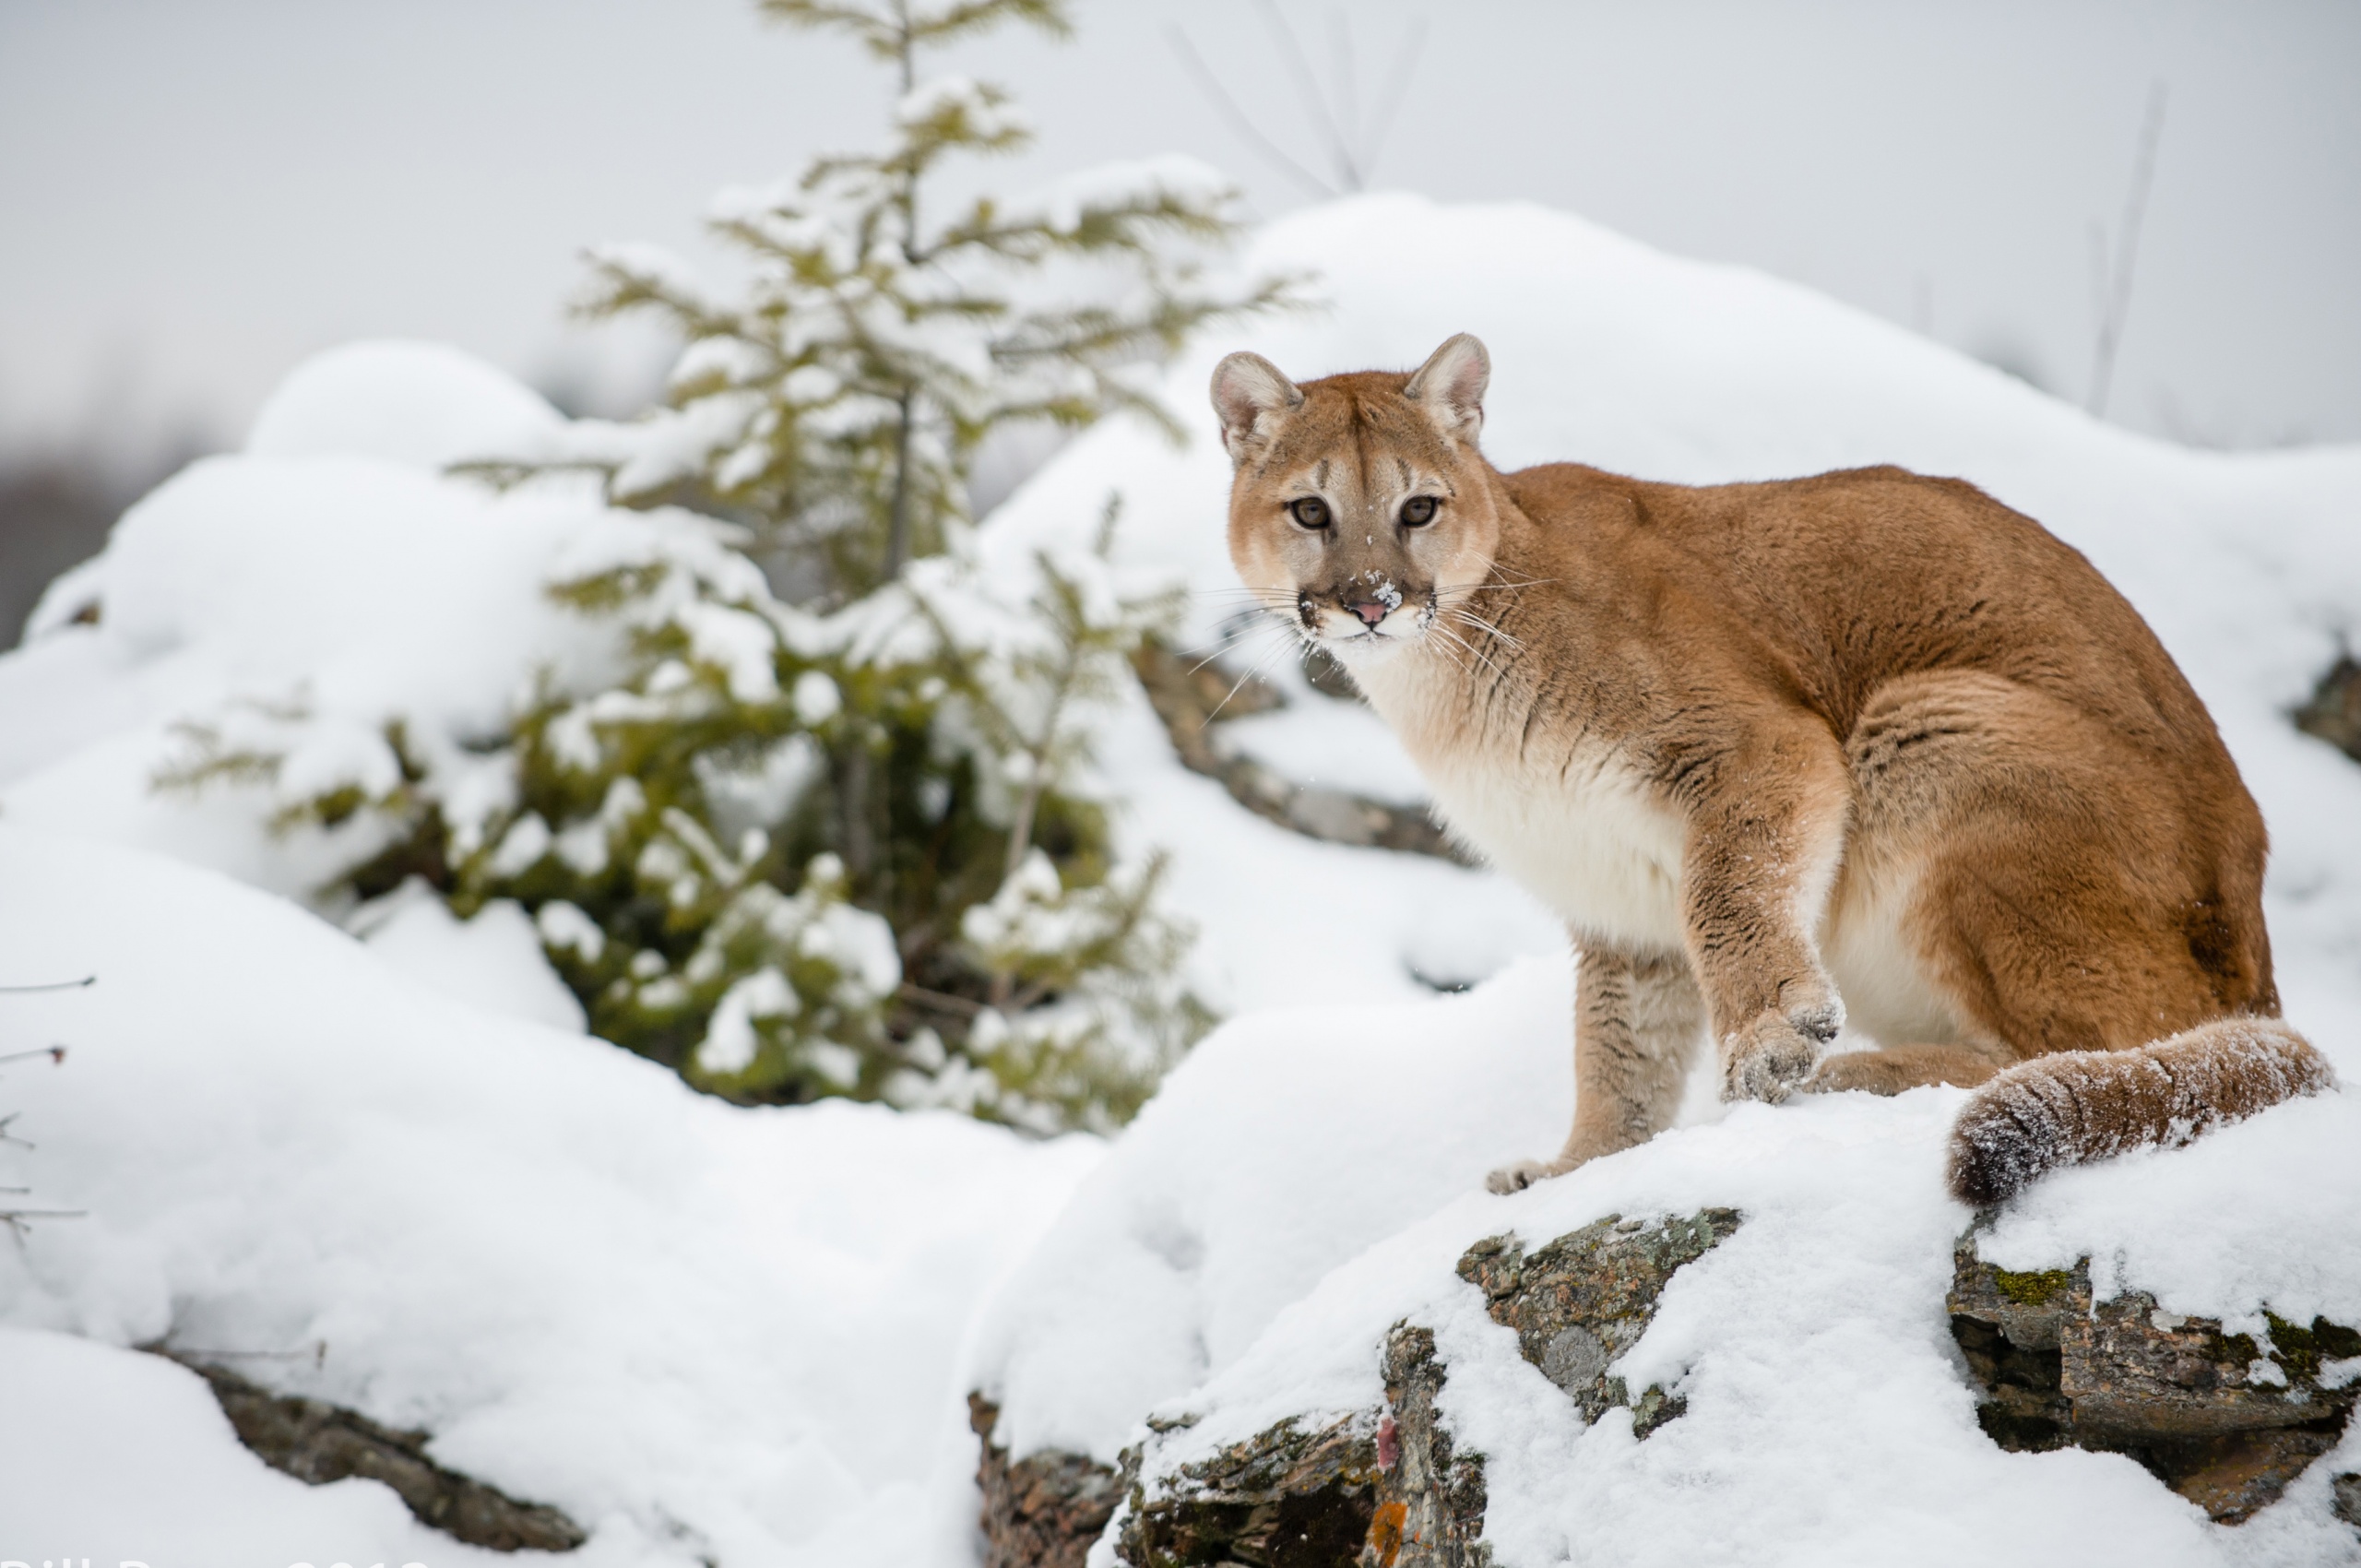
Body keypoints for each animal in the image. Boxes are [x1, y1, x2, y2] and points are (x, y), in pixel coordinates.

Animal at [1208, 338, 2332, 1204]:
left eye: (1419, 509)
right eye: (1310, 512)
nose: (1369, 600)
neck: (1443, 674)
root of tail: (2263, 971)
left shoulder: (1754, 745)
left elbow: (1731, 895)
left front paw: (1770, 1036)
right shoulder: (1615, 896)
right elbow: (1615, 1049)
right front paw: (1582, 1168)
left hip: (1930, 724)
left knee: (2087, 1044)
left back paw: (1859, 1073)